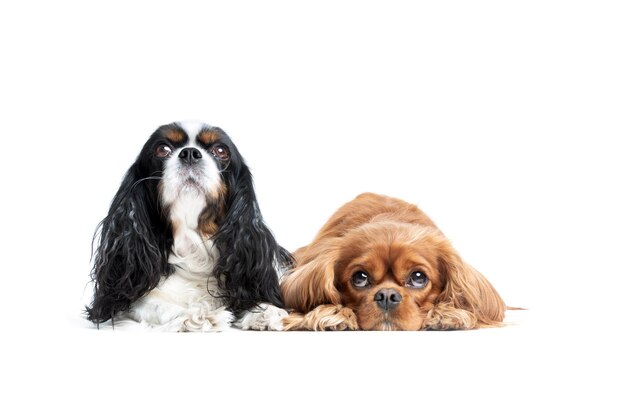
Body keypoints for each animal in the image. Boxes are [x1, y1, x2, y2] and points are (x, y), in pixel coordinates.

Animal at [86, 121, 290, 332]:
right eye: (162, 149)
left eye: (220, 150)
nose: (190, 153)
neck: (193, 245)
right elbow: (152, 304)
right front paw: (193, 314)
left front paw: (264, 310)